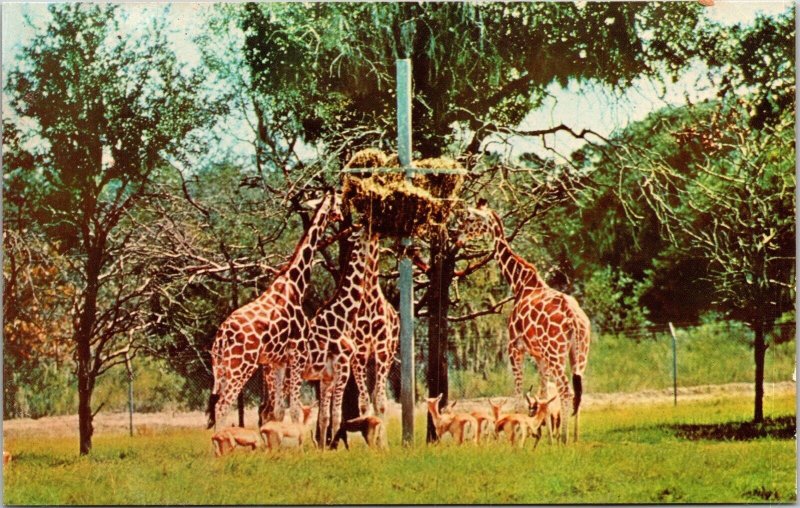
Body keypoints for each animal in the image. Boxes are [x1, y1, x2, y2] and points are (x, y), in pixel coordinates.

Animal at [206, 190, 340, 428]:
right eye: (338, 204)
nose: (341, 216)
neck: (296, 286)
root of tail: (222, 336)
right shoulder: (298, 354)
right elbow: (294, 411)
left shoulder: (278, 361)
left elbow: (278, 411)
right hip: (241, 366)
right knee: (223, 406)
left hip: (220, 368)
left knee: (220, 406)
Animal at [288, 225, 372, 444]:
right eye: (364, 233)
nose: (374, 230)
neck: (342, 317)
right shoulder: (343, 368)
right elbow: (336, 415)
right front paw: (334, 445)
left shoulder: (327, 377)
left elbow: (325, 417)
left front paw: (325, 447)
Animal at [350, 232, 400, 418]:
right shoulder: (360, 352)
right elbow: (364, 403)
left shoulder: (382, 350)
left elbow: (380, 401)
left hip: (389, 355)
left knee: (377, 394)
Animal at [454, 200, 592, 442]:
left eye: (469, 219)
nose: (457, 237)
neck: (520, 283)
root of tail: (575, 320)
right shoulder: (539, 356)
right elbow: (543, 394)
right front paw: (545, 437)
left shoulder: (514, 348)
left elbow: (518, 396)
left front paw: (520, 432)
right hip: (578, 353)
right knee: (578, 390)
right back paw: (573, 438)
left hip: (556, 353)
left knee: (566, 390)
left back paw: (564, 438)